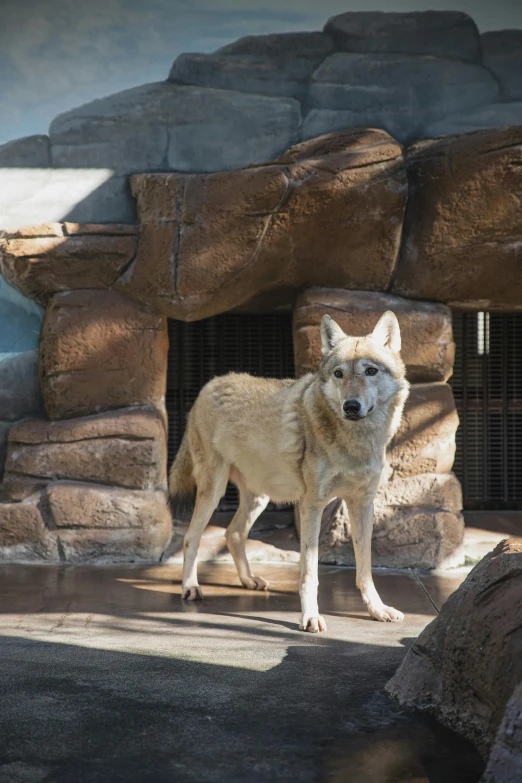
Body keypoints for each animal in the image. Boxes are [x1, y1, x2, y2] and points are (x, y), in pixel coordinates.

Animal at [167, 310, 406, 632]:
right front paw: (310, 617)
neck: (356, 443)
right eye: (339, 374)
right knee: (191, 537)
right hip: (213, 491)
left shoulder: (362, 504)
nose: (351, 406)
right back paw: (190, 588)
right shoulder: (311, 505)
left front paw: (378, 610)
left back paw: (248, 580)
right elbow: (309, 573)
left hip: (259, 498)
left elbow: (365, 570)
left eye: (370, 371)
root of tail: (209, 385)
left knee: (233, 533)